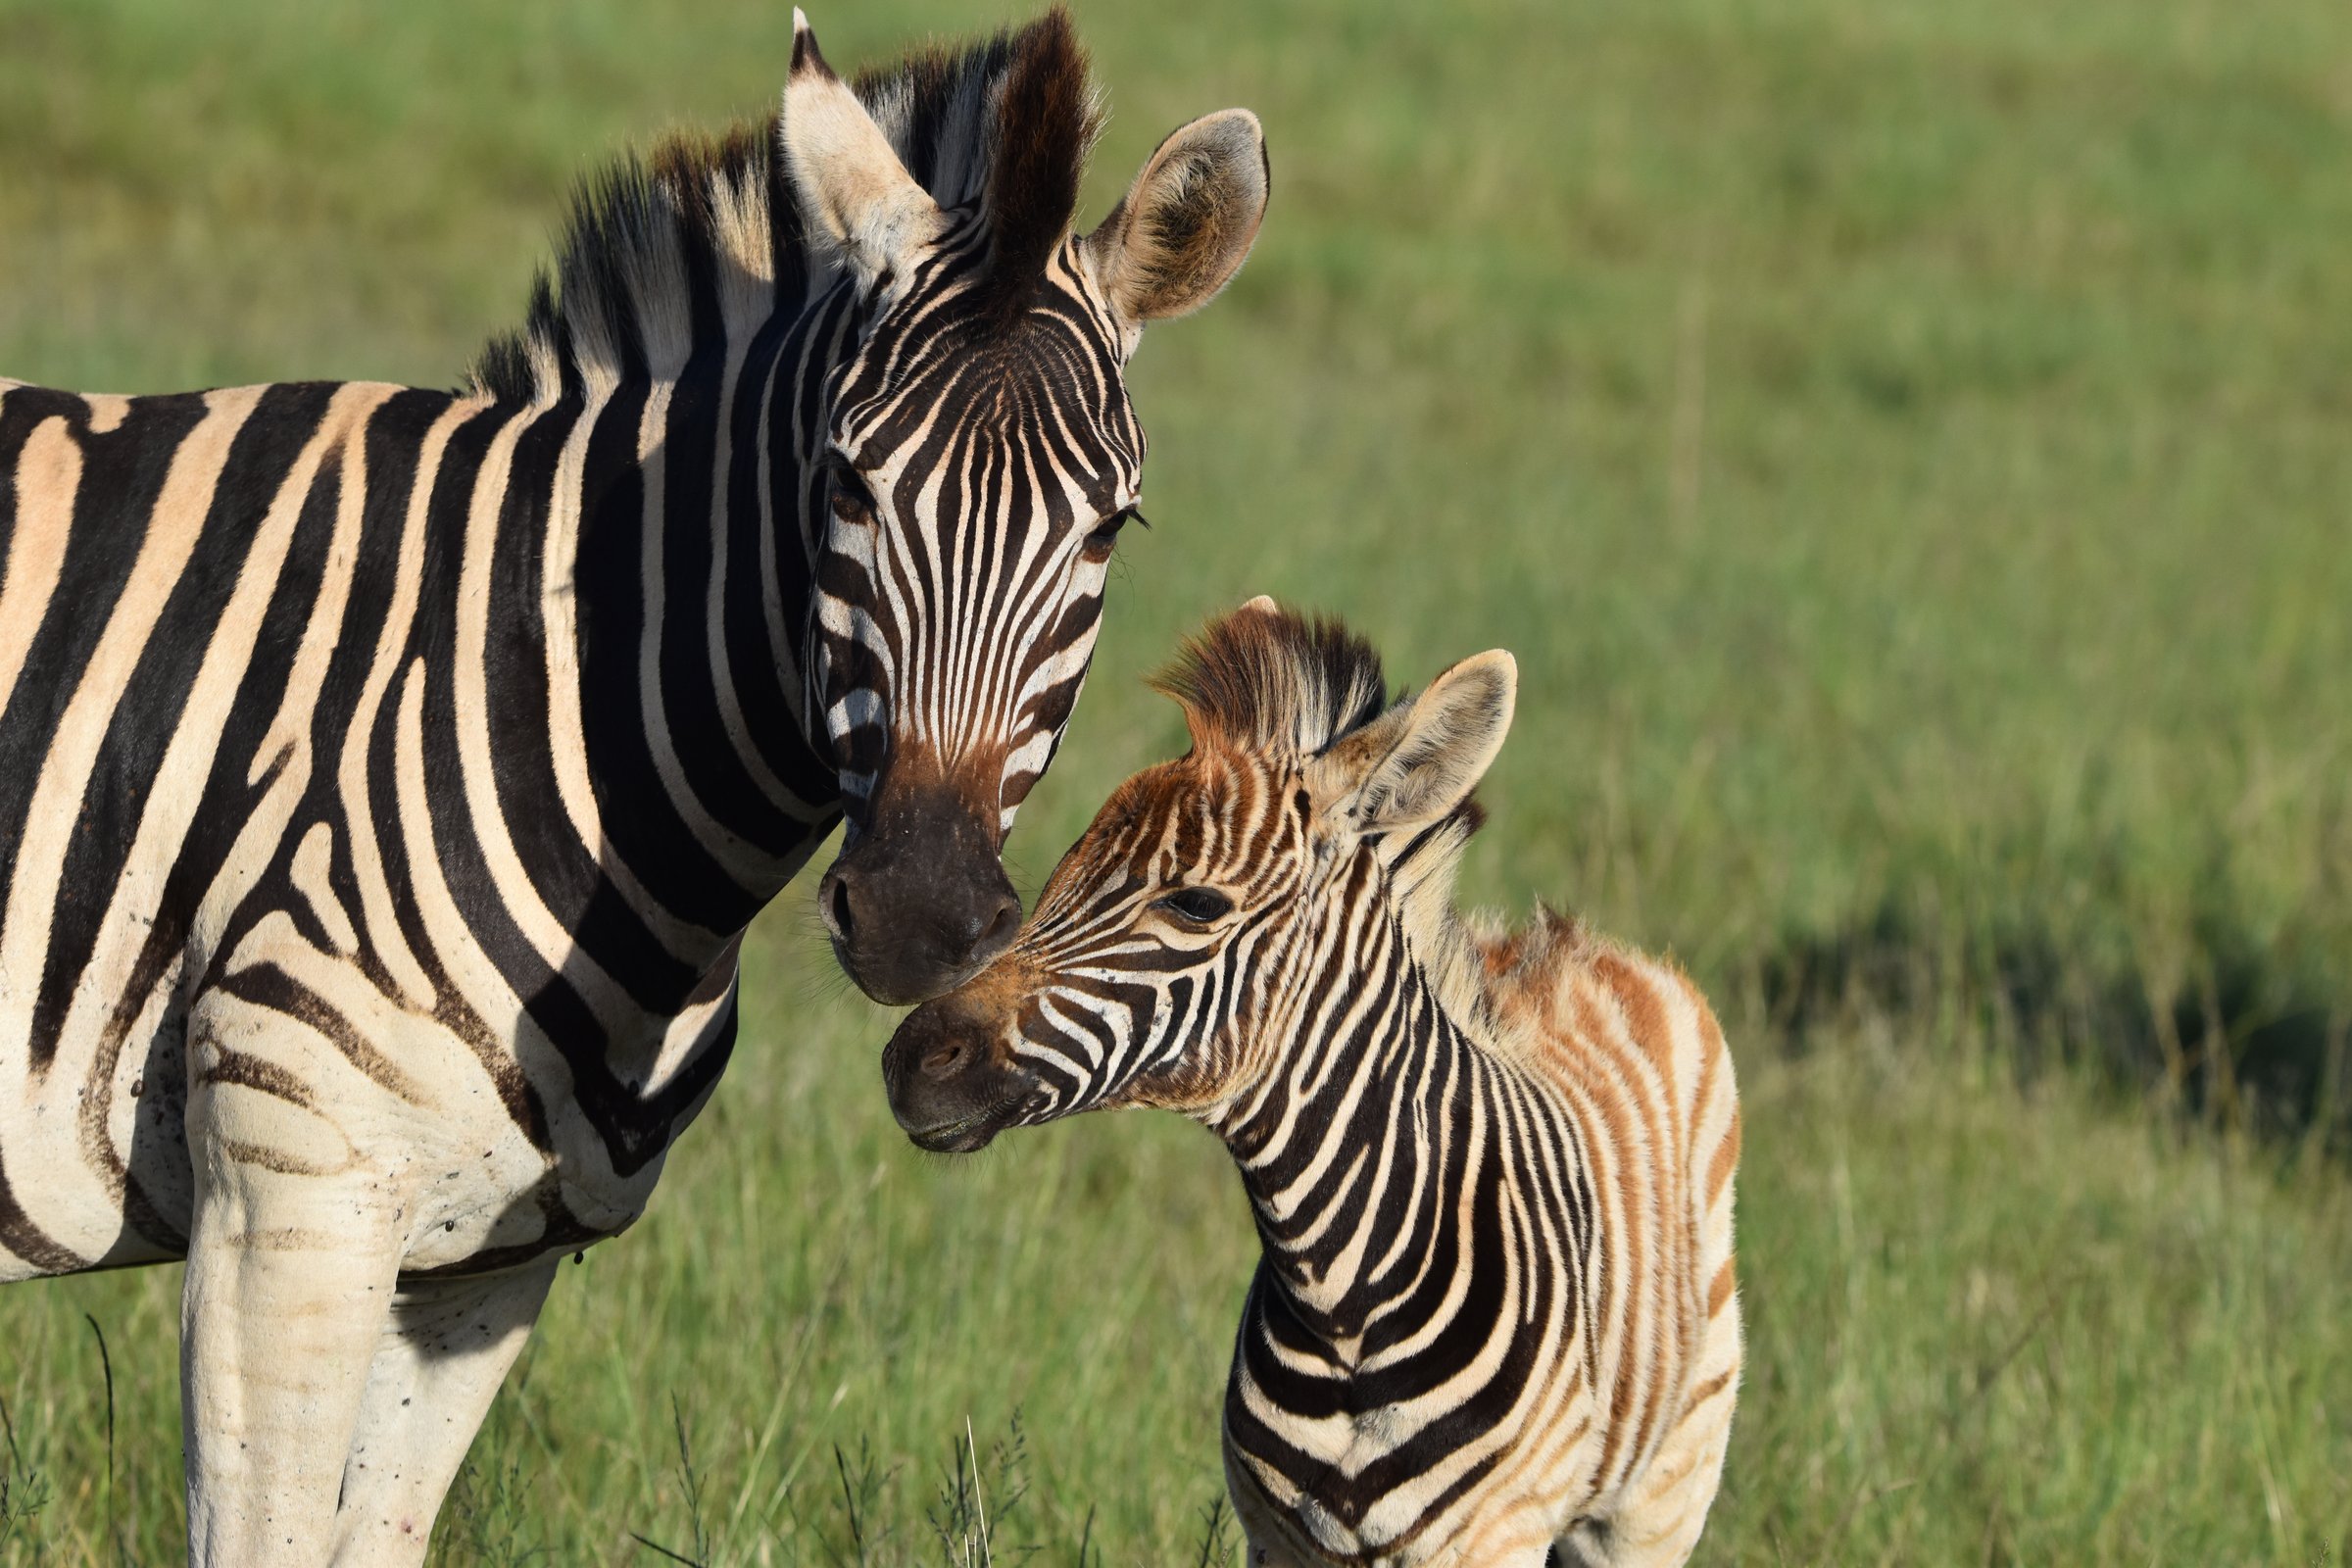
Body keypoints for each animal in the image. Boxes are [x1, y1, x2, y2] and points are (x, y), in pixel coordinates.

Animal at [885, 601, 1743, 1567]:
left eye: (1193, 905)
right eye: (1061, 874)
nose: (912, 1059)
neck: (1343, 1299)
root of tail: (1575, 942)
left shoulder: (1493, 1537)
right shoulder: (1278, 1537)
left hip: (1662, 1487)